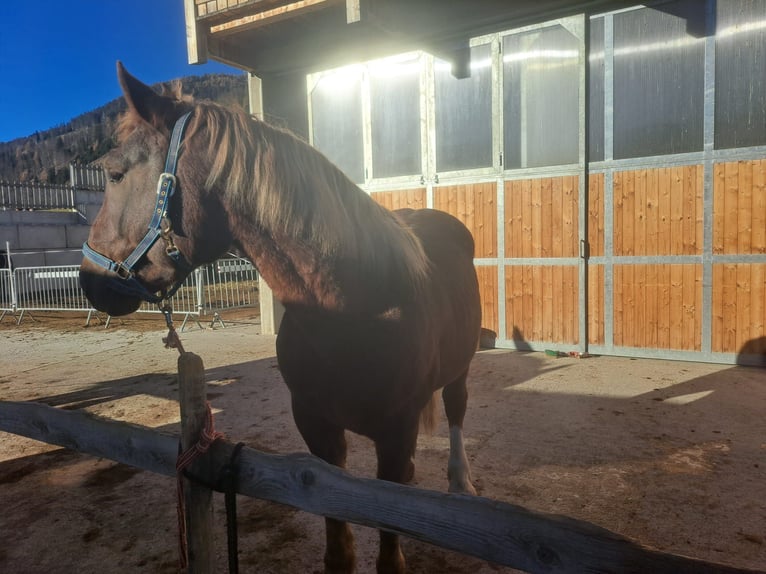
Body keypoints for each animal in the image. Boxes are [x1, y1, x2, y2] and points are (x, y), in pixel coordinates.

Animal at [81, 63, 484, 574]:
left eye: (115, 174)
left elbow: (390, 554)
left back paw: (461, 481)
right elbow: (339, 551)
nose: (87, 279)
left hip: (461, 369)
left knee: (456, 410)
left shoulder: (395, 440)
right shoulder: (318, 432)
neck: (353, 313)